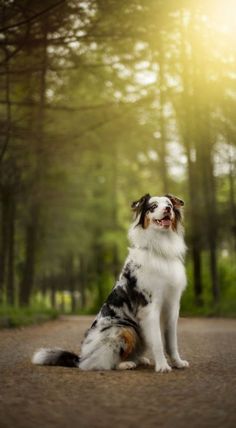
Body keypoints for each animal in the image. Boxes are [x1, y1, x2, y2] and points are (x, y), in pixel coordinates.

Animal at [32, 194, 189, 372]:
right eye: (153, 206)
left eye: (168, 204)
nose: (168, 209)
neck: (159, 249)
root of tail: (81, 358)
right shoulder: (150, 307)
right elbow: (157, 342)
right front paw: (163, 366)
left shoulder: (172, 305)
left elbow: (171, 342)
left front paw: (177, 362)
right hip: (124, 328)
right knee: (103, 362)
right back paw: (127, 363)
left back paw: (139, 359)